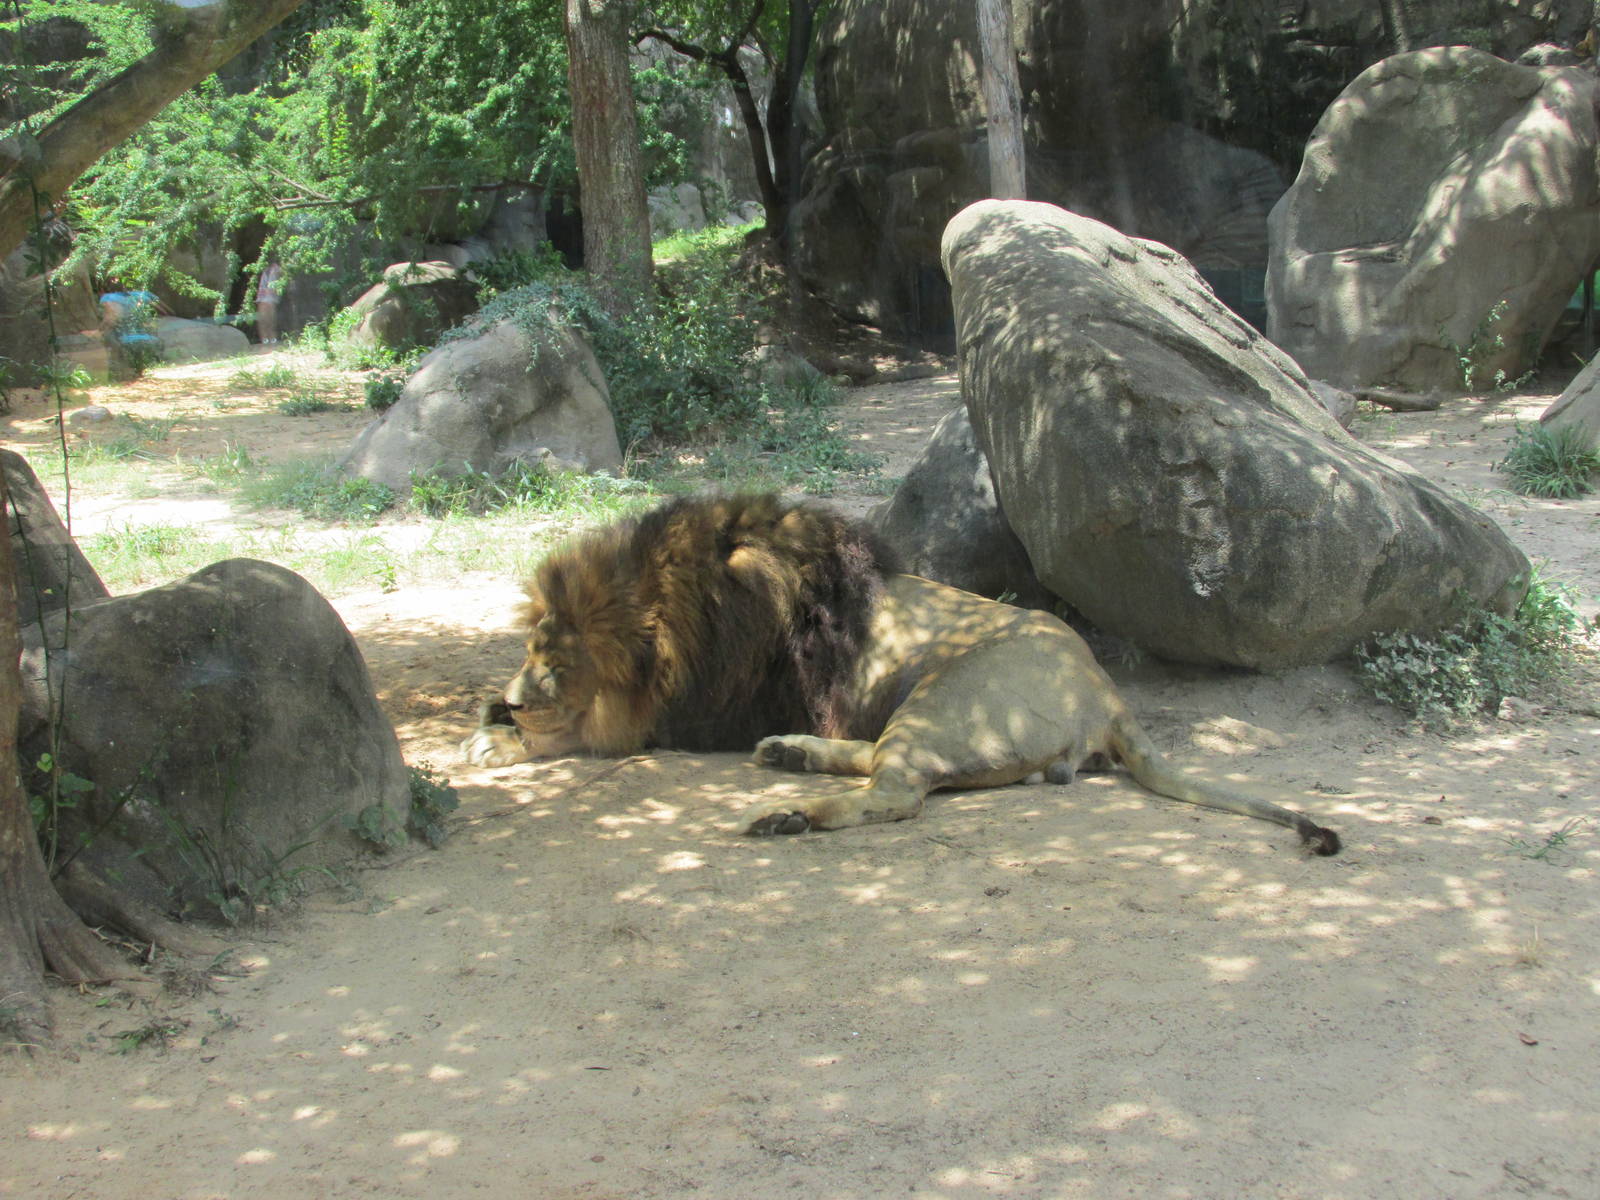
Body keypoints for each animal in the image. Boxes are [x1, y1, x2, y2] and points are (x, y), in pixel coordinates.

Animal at [461, 494, 1341, 855]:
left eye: (552, 658)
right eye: (530, 650)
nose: (512, 694)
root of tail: (1108, 695)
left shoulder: (685, 717)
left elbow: (574, 738)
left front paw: (496, 742)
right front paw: (489, 720)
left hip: (942, 698)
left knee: (897, 795)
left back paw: (790, 814)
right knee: (882, 765)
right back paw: (789, 755)